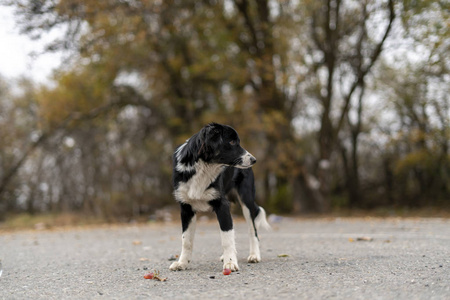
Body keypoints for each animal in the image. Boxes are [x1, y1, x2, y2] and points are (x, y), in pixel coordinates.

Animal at [170, 122, 270, 272]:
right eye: (232, 142)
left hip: (246, 200)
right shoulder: (186, 208)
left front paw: (230, 263)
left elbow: (226, 237)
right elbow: (186, 240)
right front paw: (182, 263)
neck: (203, 168)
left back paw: (254, 255)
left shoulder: (222, 205)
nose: (254, 160)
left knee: (253, 231)